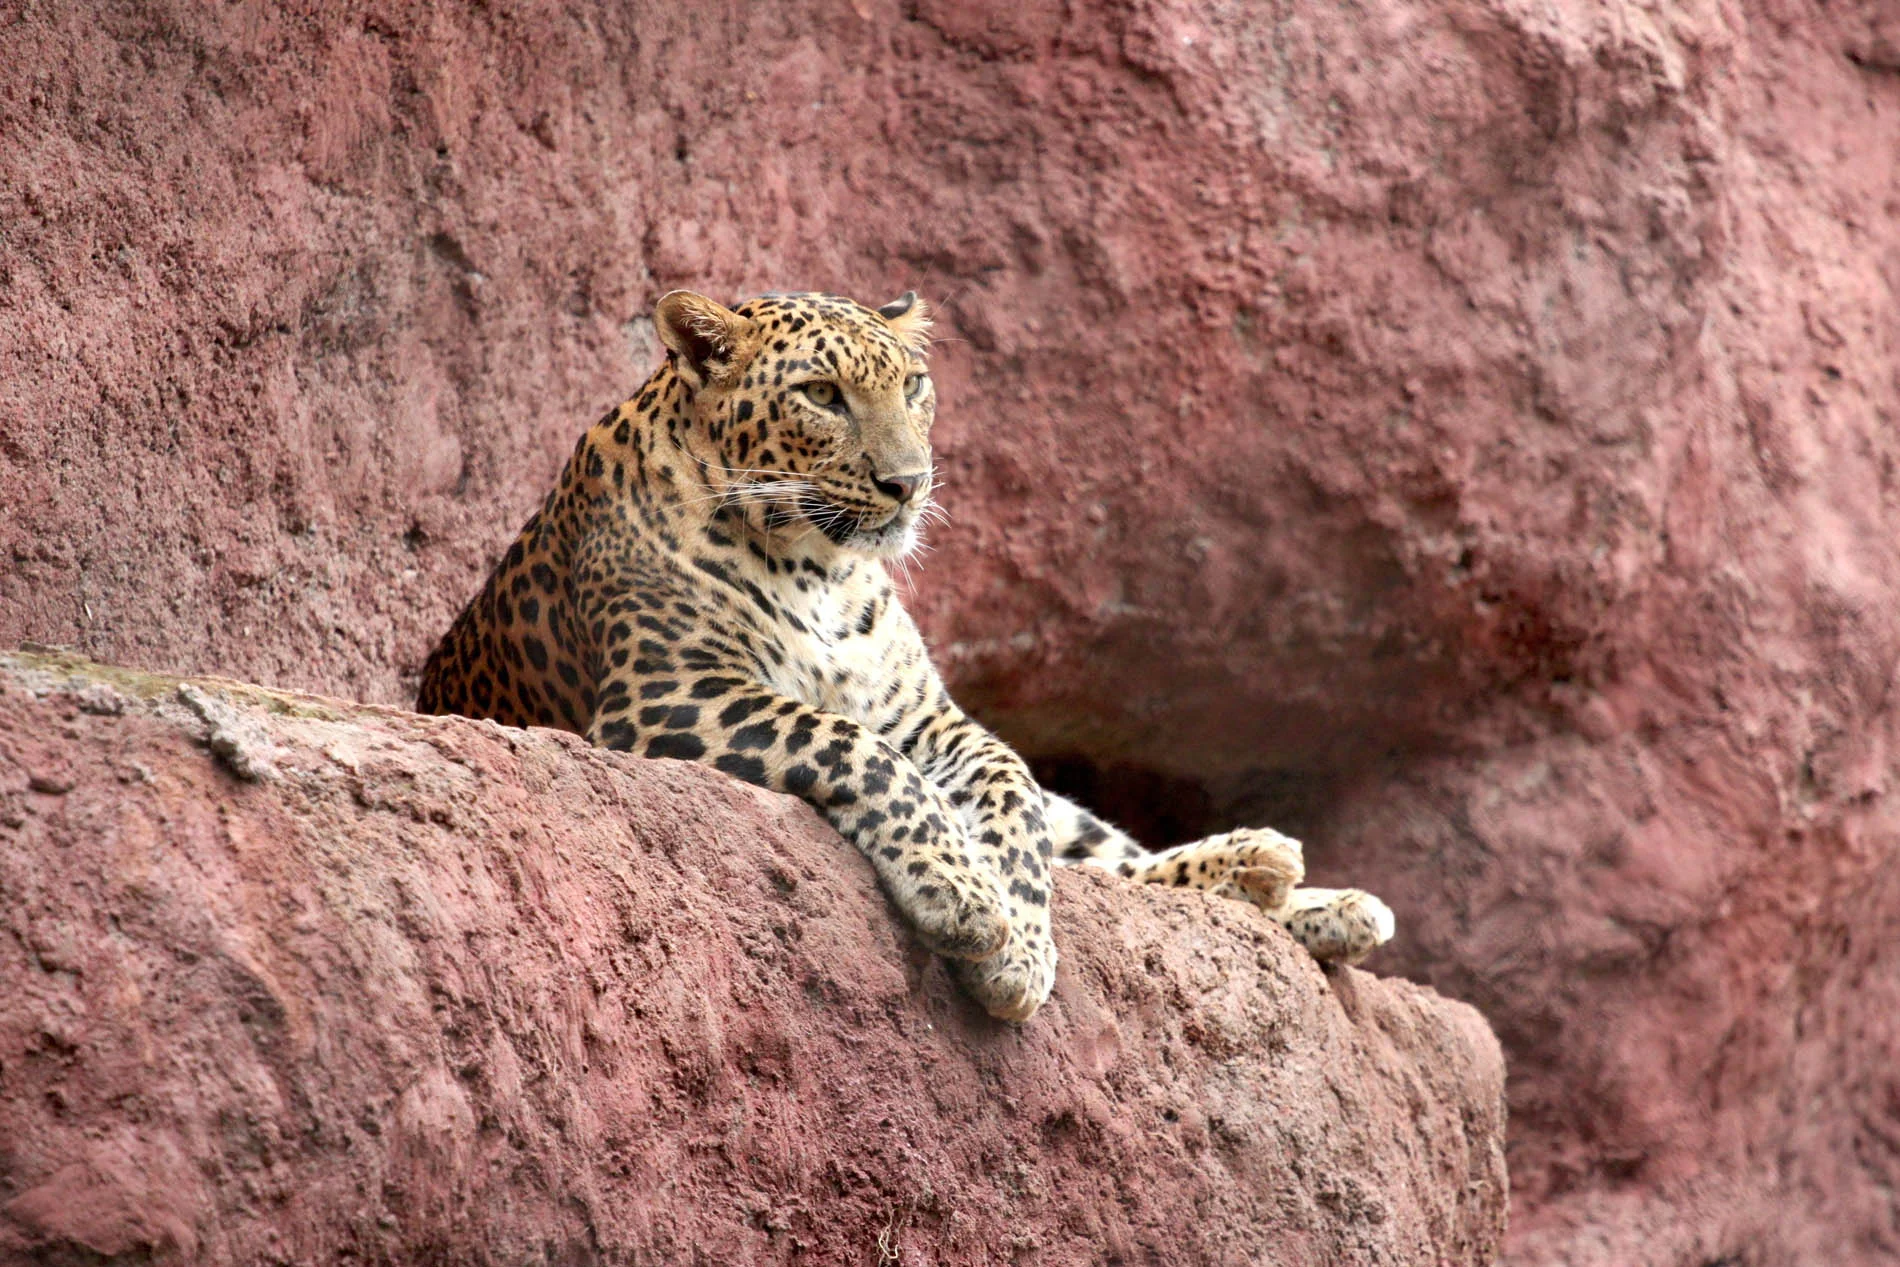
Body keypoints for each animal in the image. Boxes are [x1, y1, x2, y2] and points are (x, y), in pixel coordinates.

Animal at [416, 287, 1394, 1020]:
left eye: (915, 384)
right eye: (821, 394)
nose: (908, 482)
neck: (816, 564)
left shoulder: (934, 720)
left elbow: (1011, 797)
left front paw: (1021, 947)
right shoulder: (670, 693)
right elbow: (857, 747)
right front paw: (962, 896)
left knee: (1108, 855)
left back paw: (1296, 881)